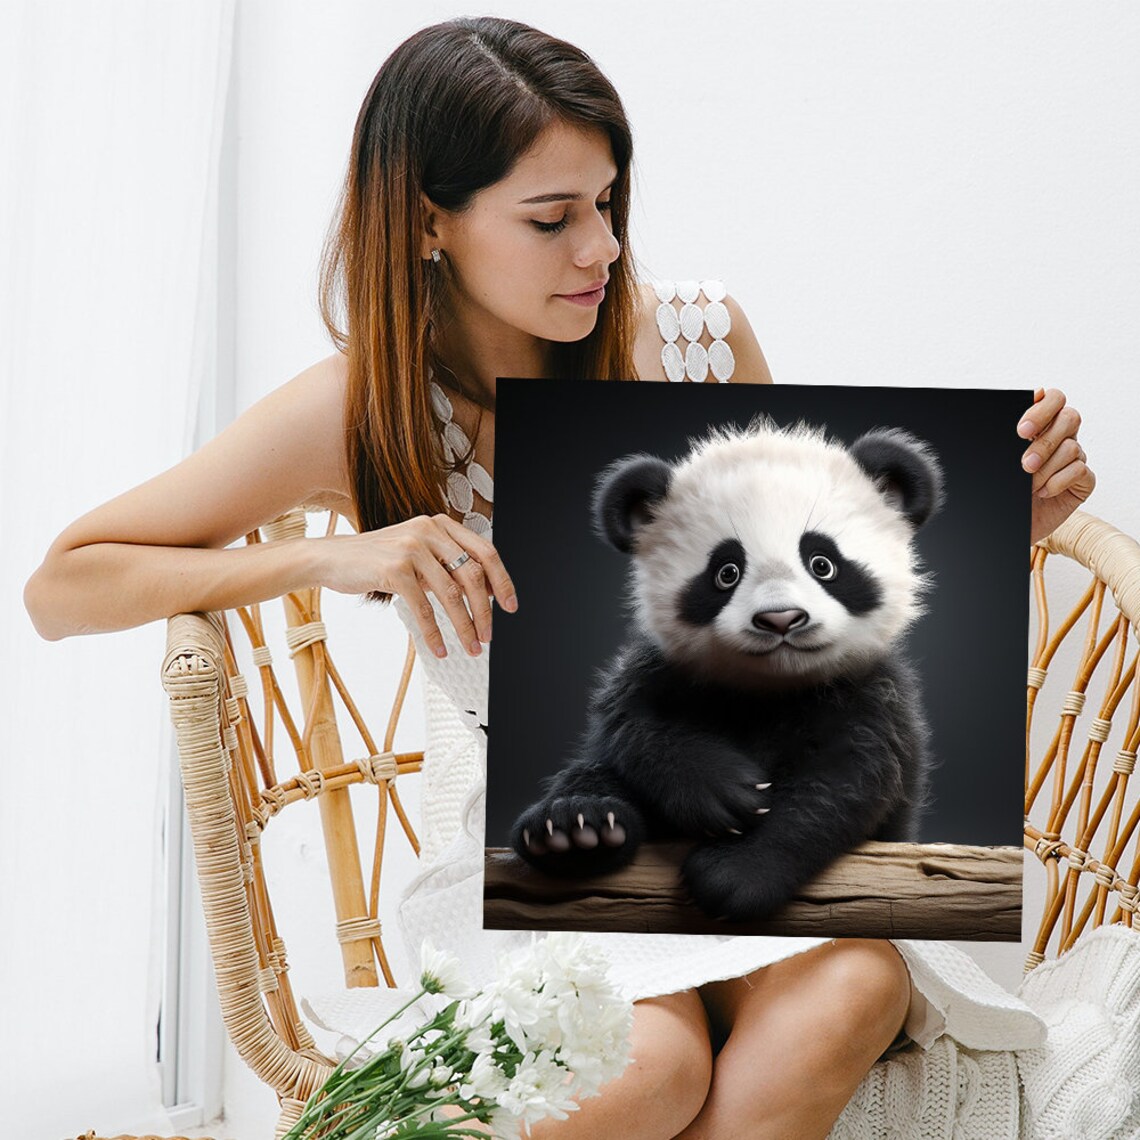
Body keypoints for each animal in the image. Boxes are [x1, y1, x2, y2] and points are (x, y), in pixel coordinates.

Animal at [509, 417, 944, 923]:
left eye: (823, 563)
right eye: (726, 572)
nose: (781, 619)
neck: (772, 686)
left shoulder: (872, 693)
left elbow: (842, 782)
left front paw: (734, 874)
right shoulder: (657, 673)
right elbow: (636, 731)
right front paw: (725, 791)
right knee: (591, 773)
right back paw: (574, 830)